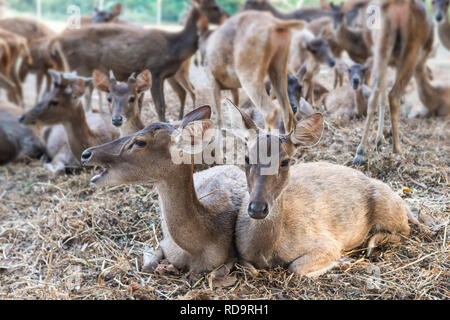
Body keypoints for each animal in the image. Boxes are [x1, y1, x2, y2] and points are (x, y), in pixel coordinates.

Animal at [232, 105, 418, 278]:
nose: (257, 208)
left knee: (406, 230)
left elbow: (296, 267)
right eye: (246, 158)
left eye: (285, 162)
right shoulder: (241, 253)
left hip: (389, 208)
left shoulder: (327, 243)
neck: (267, 252)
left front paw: (342, 260)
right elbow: (249, 269)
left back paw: (372, 244)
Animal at [354, 0, 434, 165]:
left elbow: (381, 96)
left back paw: (361, 151)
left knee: (375, 95)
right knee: (394, 95)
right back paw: (397, 149)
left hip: (381, 43)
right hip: (411, 51)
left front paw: (379, 139)